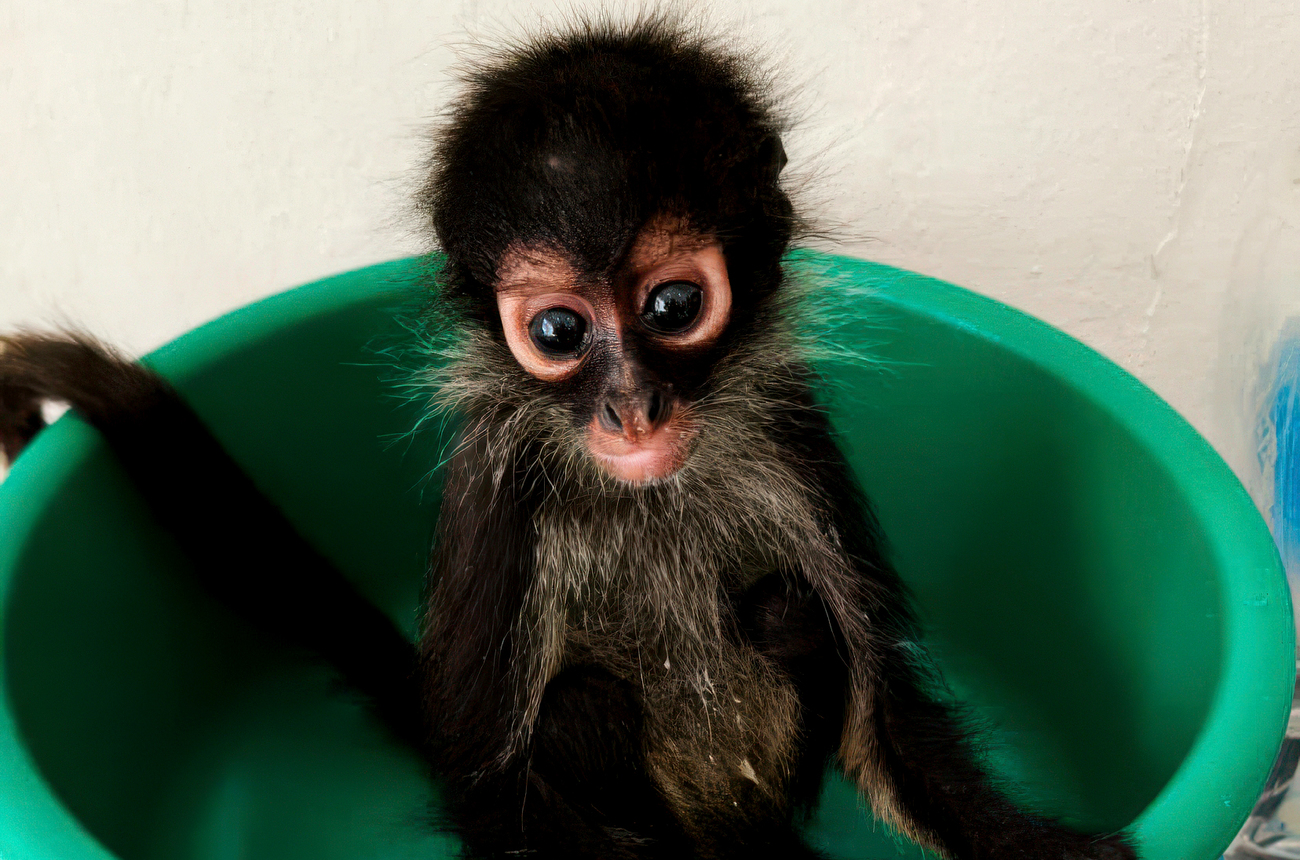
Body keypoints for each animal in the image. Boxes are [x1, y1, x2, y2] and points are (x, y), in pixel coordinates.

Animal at [0, 16, 1139, 860]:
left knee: (785, 610)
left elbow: (885, 714)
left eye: (674, 306)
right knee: (583, 700)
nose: (632, 408)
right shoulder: (496, 492)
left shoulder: (792, 432)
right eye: (556, 331)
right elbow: (489, 792)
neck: (650, 491)